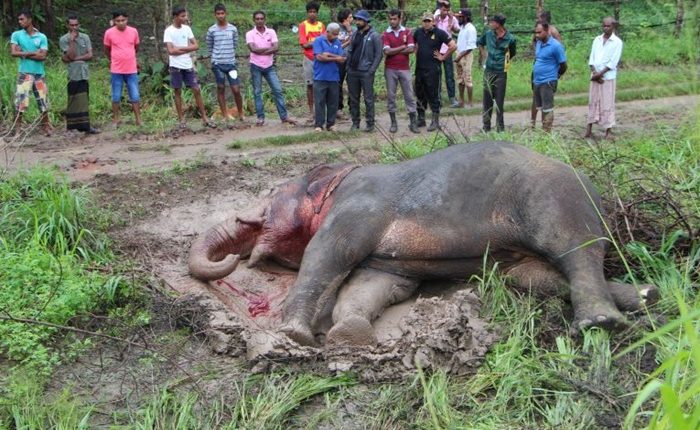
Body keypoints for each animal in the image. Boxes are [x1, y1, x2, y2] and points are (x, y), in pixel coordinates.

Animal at [189, 142, 656, 347]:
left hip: (554, 197)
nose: (238, 255)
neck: (338, 176)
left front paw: (293, 335)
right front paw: (350, 334)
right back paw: (645, 296)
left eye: (269, 197)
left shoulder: (359, 205)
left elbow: (329, 253)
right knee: (537, 276)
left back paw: (600, 324)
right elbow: (375, 283)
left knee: (575, 250)